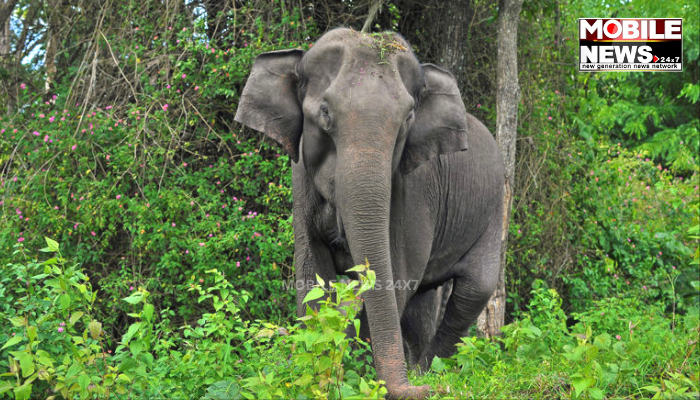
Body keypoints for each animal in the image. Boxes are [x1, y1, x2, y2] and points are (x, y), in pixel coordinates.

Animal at [234, 28, 505, 399]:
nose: (431, 391)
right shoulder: (300, 178)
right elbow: (311, 271)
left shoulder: (417, 186)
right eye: (325, 112)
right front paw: (323, 372)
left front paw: (359, 378)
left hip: (495, 209)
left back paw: (426, 372)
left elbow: (398, 273)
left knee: (475, 288)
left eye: (407, 119)